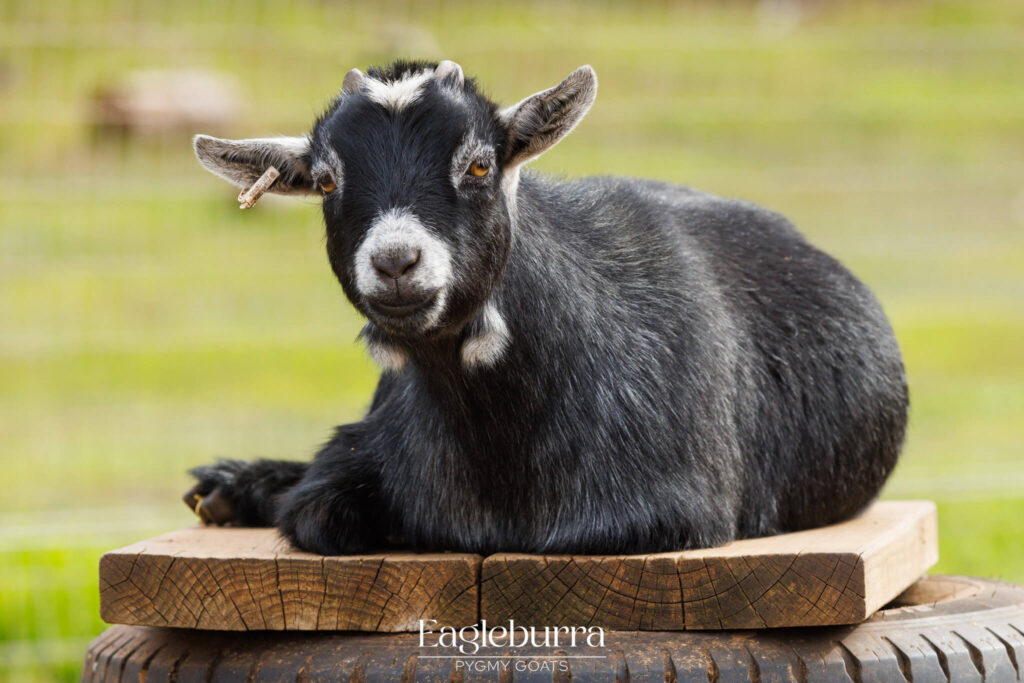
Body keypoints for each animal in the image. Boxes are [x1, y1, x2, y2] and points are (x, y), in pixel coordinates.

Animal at [186, 60, 908, 555]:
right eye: (327, 179)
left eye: (479, 165)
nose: (395, 262)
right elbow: (318, 508)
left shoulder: (666, 510)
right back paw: (225, 487)